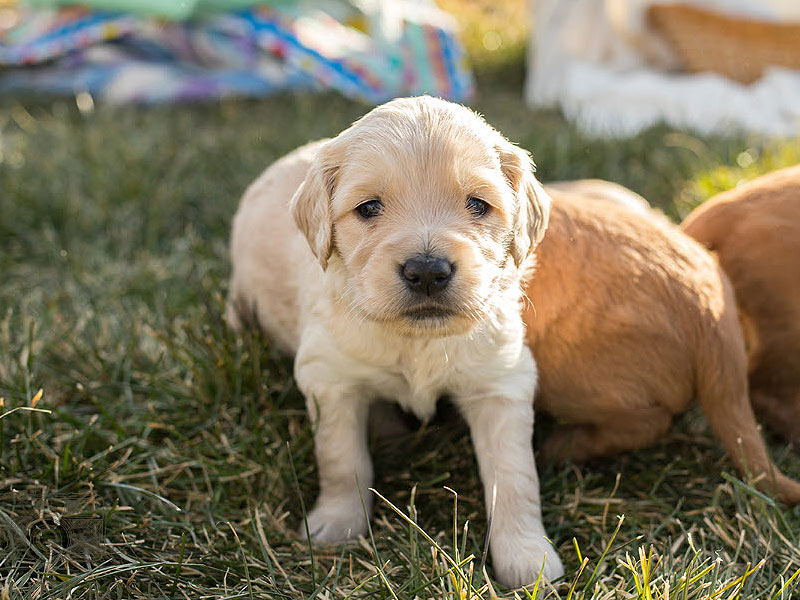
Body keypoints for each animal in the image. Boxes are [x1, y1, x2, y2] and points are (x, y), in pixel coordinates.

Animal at [225, 96, 564, 588]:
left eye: (478, 205)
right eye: (369, 208)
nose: (427, 271)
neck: (417, 339)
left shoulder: (501, 381)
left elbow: (515, 475)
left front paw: (527, 555)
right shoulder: (330, 378)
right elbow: (341, 458)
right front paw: (336, 524)